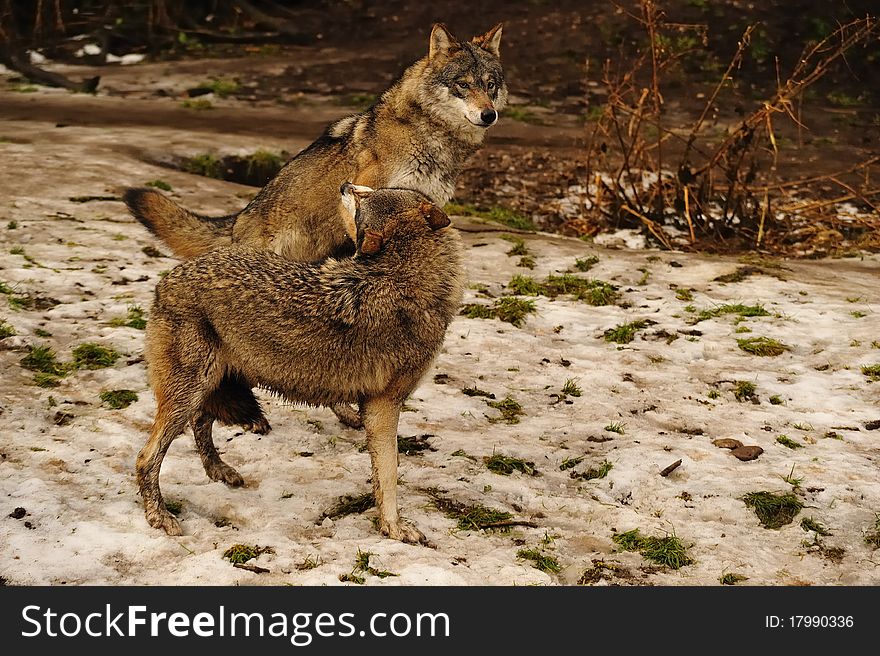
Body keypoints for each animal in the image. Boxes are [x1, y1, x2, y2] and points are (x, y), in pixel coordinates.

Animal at [135, 184, 464, 544]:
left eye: (365, 196)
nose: (345, 186)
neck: (405, 269)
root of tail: (169, 279)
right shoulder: (383, 406)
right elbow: (390, 474)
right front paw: (393, 527)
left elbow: (383, 473)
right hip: (191, 391)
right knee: (146, 458)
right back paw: (159, 516)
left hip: (216, 381)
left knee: (201, 421)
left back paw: (219, 470)